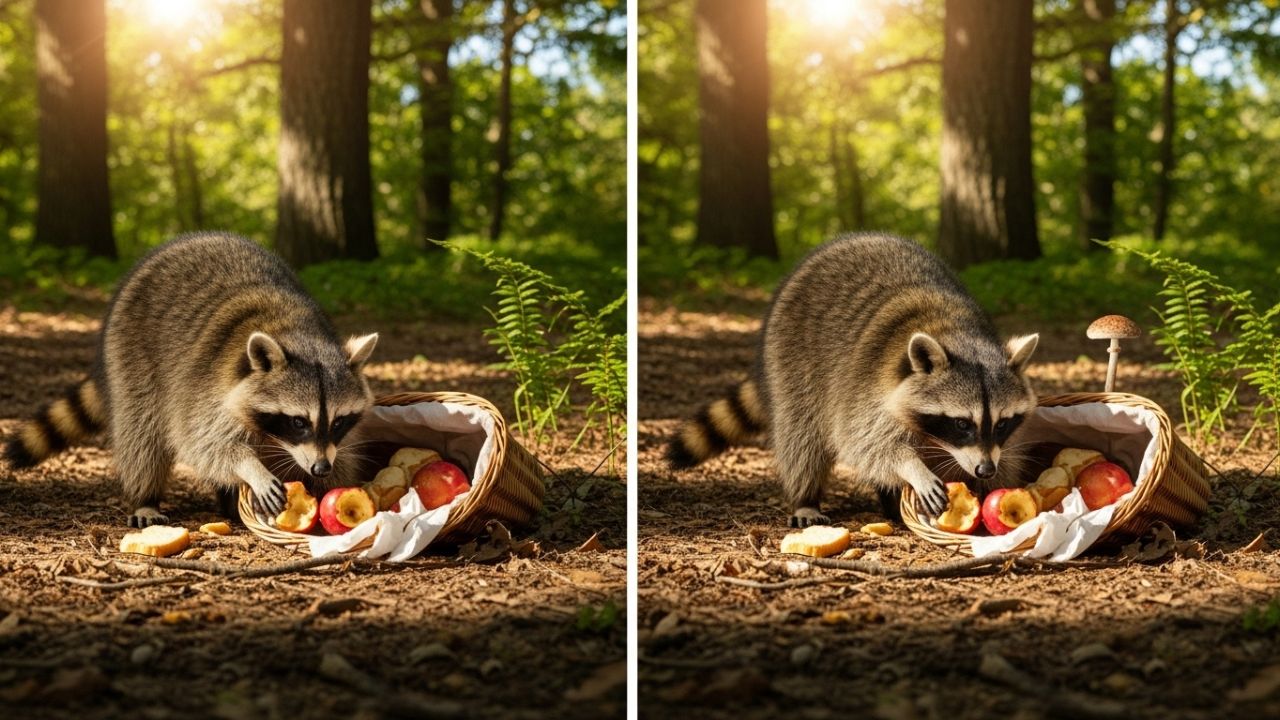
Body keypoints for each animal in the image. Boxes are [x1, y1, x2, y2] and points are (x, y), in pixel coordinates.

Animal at [3, 232, 379, 527]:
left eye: (339, 421)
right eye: (298, 422)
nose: (320, 468)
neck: (298, 333)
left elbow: (344, 453)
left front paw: (333, 482)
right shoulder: (207, 387)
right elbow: (203, 442)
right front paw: (250, 467)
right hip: (130, 354)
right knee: (141, 435)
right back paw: (145, 496)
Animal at [667, 232, 1039, 527]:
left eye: (1003, 423)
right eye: (962, 424)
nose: (985, 470)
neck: (956, 331)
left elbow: (1008, 453)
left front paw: (995, 480)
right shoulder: (867, 387)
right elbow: (863, 442)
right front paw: (912, 467)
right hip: (791, 359)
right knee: (800, 437)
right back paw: (806, 496)